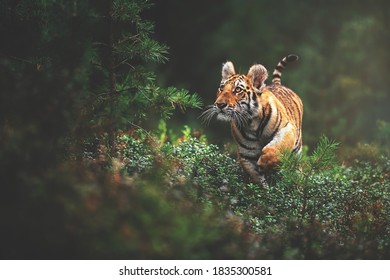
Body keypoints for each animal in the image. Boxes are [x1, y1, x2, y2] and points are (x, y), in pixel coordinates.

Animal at [203, 54, 304, 186]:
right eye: (221, 88)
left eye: (238, 90)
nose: (219, 104)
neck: (251, 122)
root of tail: (278, 84)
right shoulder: (247, 154)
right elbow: (256, 179)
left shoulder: (287, 128)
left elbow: (277, 146)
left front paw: (265, 162)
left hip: (297, 151)